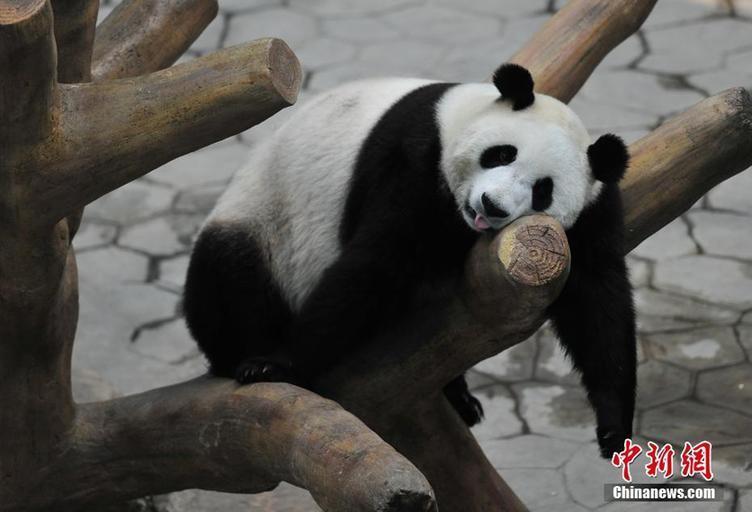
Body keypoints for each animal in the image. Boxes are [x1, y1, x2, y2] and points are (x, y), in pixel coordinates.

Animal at [182, 64, 636, 460]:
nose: (492, 205)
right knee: (230, 275)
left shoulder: (590, 216)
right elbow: (376, 262)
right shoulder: (415, 157)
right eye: (502, 154)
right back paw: (241, 354)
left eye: (543, 190)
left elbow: (598, 301)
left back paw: (459, 397)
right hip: (263, 224)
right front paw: (276, 363)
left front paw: (614, 429)